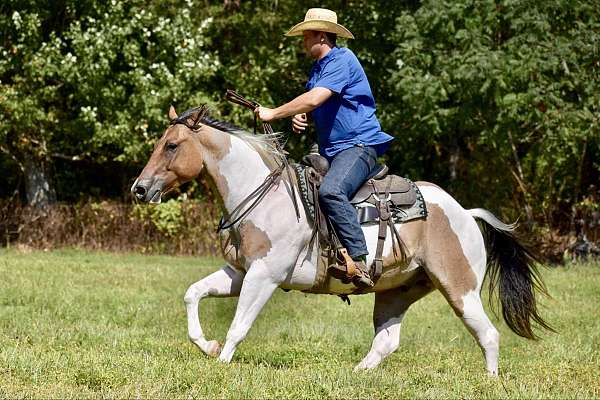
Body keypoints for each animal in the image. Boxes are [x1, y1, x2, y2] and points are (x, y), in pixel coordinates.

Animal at [132, 105, 552, 376]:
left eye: (172, 145)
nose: (139, 189)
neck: (263, 194)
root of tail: (465, 212)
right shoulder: (239, 273)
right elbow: (193, 294)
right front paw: (208, 345)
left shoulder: (264, 276)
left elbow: (239, 325)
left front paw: (220, 362)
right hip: (397, 290)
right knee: (387, 341)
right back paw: (357, 373)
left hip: (460, 288)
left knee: (488, 334)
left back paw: (489, 380)